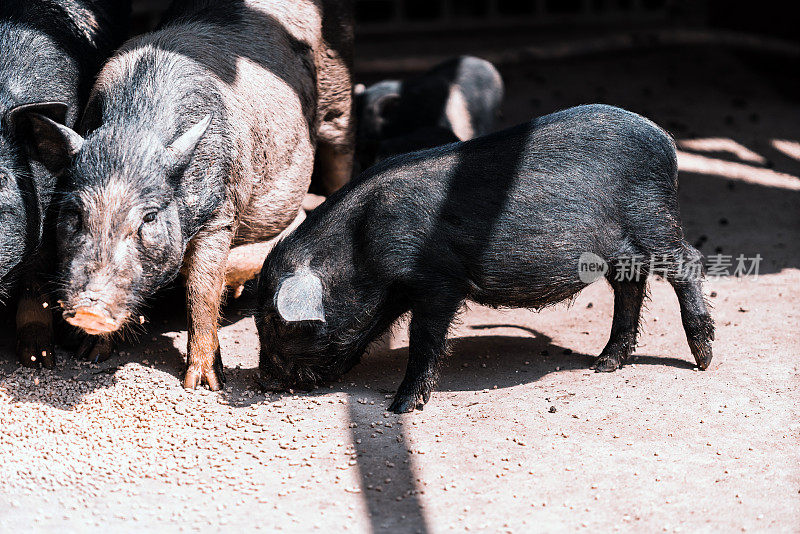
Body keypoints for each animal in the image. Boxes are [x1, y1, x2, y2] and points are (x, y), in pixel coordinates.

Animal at [17, 0, 354, 390]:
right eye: (74, 212)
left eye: (149, 217)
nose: (90, 309)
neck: (134, 135)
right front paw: (91, 354)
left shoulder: (221, 213)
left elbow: (201, 288)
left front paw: (203, 384)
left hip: (338, 104)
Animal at [260, 104, 716, 414]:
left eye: (275, 323)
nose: (263, 381)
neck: (362, 245)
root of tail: (665, 139)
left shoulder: (439, 281)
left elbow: (424, 339)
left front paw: (401, 407)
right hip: (623, 247)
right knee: (630, 287)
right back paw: (604, 365)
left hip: (653, 219)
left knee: (688, 261)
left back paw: (703, 360)